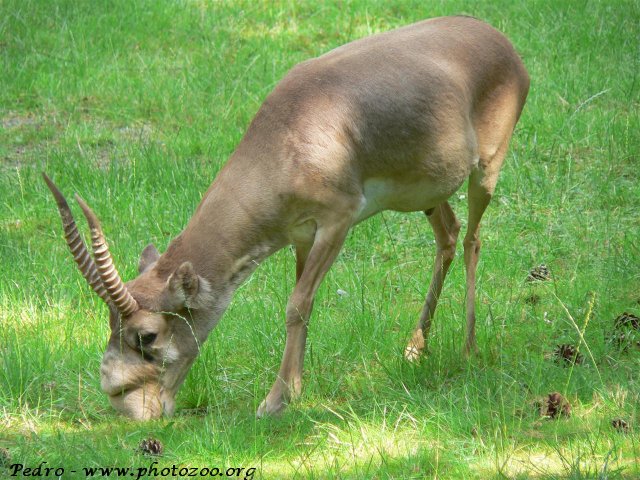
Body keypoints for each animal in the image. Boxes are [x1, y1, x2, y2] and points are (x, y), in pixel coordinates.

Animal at [45, 16, 529, 420]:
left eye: (146, 335)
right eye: (110, 324)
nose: (126, 405)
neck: (291, 132)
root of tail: (502, 42)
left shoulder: (337, 222)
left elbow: (296, 304)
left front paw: (274, 401)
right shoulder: (301, 236)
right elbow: (304, 302)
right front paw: (293, 390)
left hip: (485, 170)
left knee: (472, 239)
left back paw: (467, 349)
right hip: (427, 194)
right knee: (448, 234)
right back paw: (415, 349)